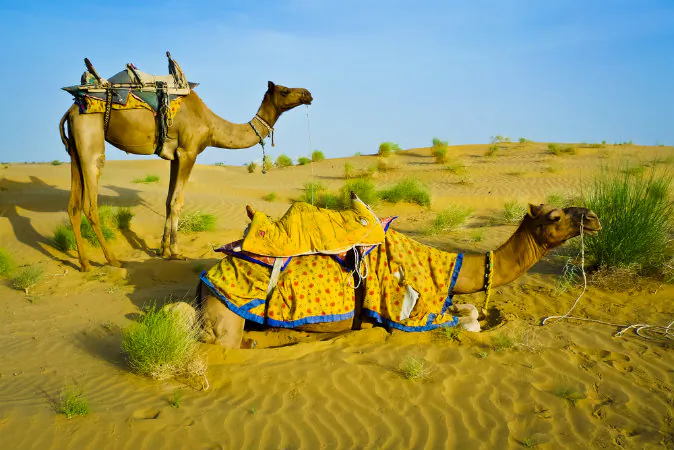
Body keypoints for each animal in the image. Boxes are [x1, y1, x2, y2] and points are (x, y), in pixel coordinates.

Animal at [59, 81, 312, 271]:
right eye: (284, 90)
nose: (308, 94)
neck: (211, 125)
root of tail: (70, 111)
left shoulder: (175, 156)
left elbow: (167, 201)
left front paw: (162, 250)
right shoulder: (188, 152)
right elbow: (177, 201)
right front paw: (176, 252)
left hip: (75, 148)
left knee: (73, 205)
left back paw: (84, 264)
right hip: (90, 138)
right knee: (90, 202)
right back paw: (112, 259)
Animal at [190, 203, 601, 348]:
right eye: (555, 216)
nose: (594, 217)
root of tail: (206, 276)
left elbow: (470, 311)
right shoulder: (413, 313)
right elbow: (467, 323)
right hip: (225, 311)